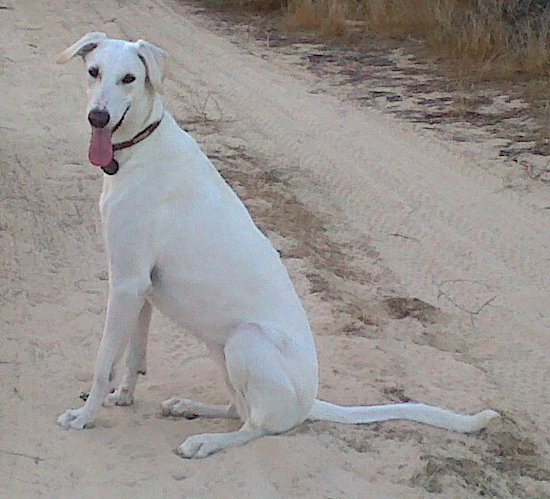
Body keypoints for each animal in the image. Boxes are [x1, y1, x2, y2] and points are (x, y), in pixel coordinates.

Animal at [56, 33, 500, 458]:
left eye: (129, 78)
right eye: (94, 71)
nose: (98, 117)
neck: (140, 146)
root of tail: (309, 402)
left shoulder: (126, 283)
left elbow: (103, 363)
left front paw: (84, 416)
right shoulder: (140, 288)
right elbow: (132, 356)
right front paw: (123, 397)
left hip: (246, 341)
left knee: (258, 426)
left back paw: (206, 441)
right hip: (223, 352)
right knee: (239, 409)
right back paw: (189, 407)